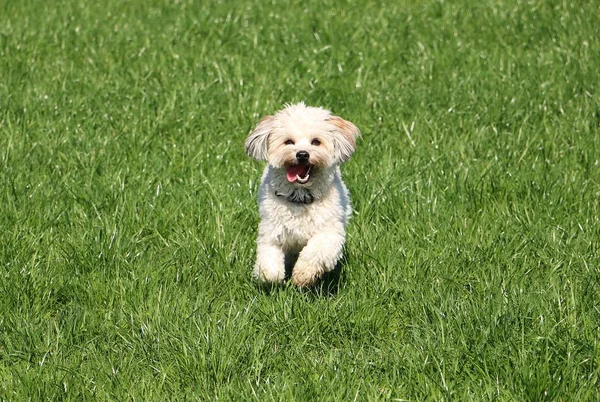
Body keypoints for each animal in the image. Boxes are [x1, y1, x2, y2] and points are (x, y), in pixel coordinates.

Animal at [245, 103, 358, 286]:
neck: (300, 198)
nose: (302, 154)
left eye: (316, 142)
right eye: (289, 142)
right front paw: (270, 275)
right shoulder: (271, 231)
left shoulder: (330, 231)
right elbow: (269, 259)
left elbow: (316, 251)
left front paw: (303, 274)